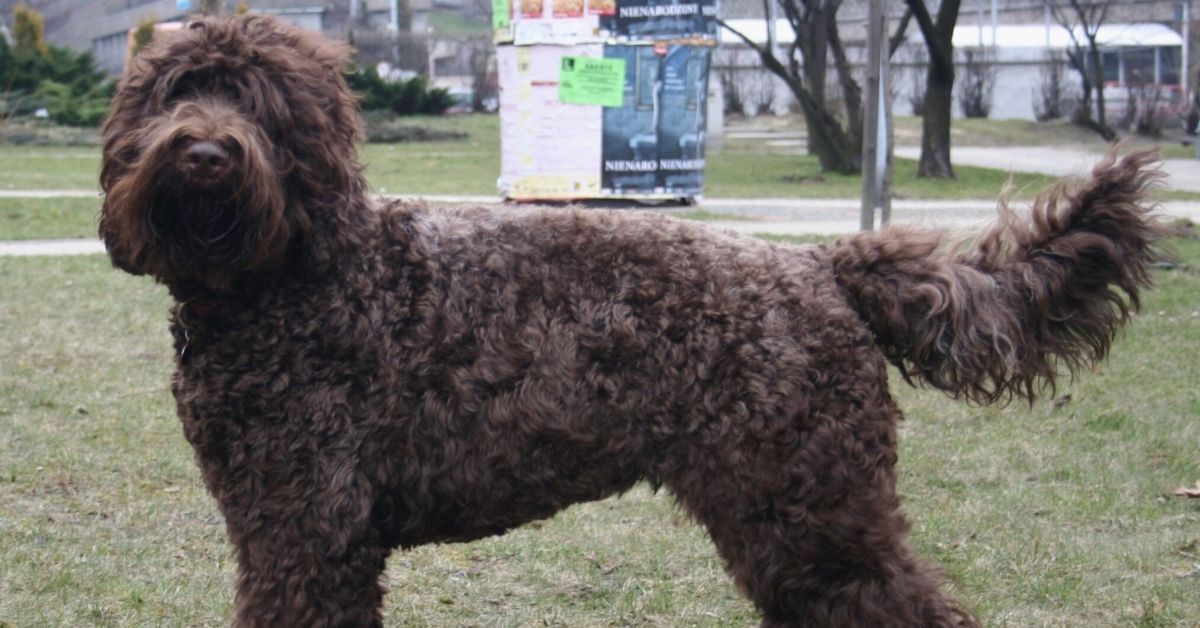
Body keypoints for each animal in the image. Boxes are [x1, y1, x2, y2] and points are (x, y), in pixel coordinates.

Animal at [100, 14, 1161, 628]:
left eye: (261, 103)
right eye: (173, 94)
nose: (203, 153)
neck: (288, 281)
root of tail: (822, 266)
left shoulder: (309, 528)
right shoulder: (296, 528)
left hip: (810, 505)